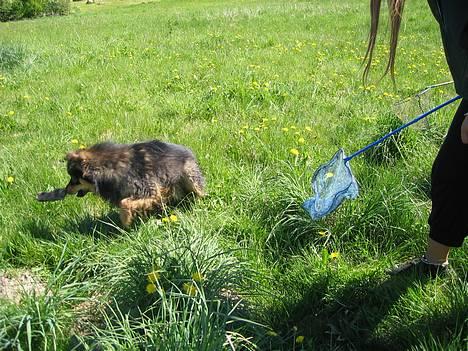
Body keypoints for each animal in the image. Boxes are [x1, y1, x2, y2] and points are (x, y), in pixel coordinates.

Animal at [36, 140, 205, 228]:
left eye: (74, 179)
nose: (66, 190)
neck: (109, 167)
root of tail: (190, 153)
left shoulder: (150, 190)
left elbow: (125, 203)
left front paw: (125, 223)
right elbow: (127, 202)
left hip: (190, 176)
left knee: (199, 193)